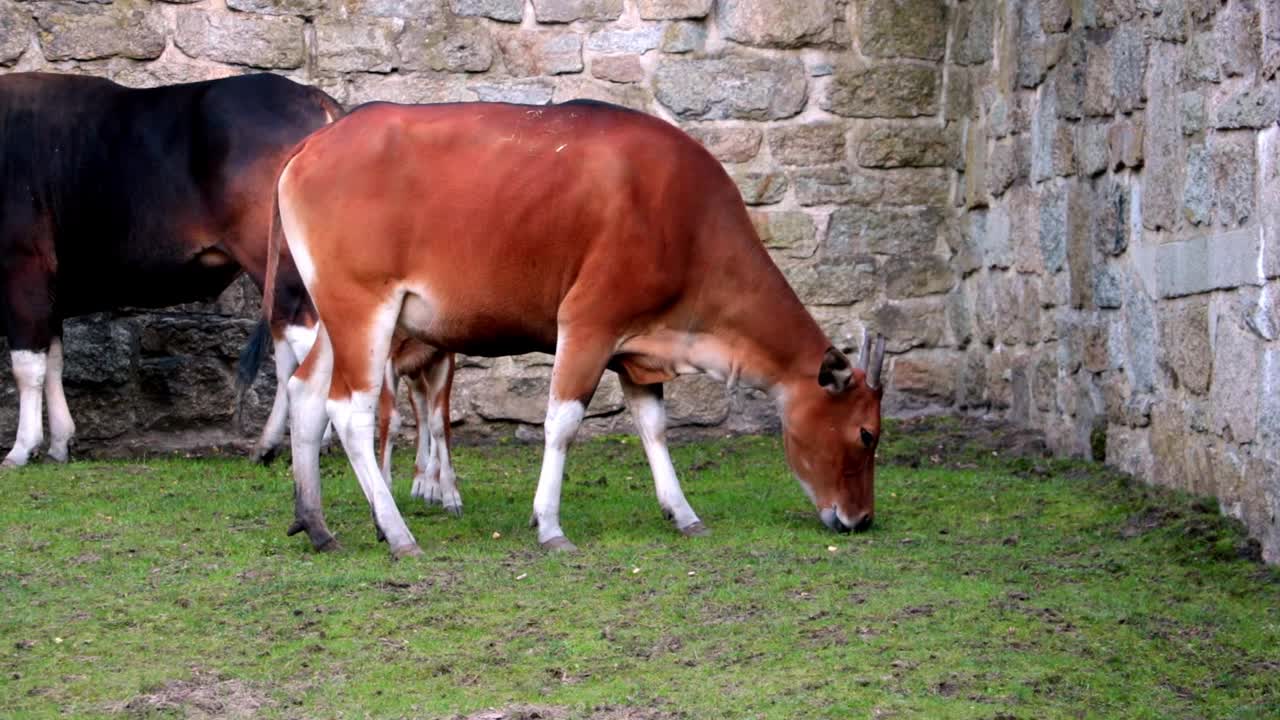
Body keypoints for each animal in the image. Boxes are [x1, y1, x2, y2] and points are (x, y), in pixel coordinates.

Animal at [0, 73, 335, 461]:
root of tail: (309, 95)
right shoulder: (51, 293)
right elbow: (54, 362)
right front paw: (59, 444)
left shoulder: (23, 270)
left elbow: (28, 367)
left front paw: (21, 448)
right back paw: (268, 445)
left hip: (279, 268)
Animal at [267, 99, 890, 556]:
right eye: (867, 434)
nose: (860, 518)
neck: (688, 224)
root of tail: (310, 145)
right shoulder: (588, 323)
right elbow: (562, 424)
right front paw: (549, 526)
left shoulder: (637, 348)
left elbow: (654, 428)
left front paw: (683, 513)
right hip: (363, 307)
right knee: (350, 409)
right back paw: (397, 533)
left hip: (338, 316)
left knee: (305, 389)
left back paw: (316, 522)